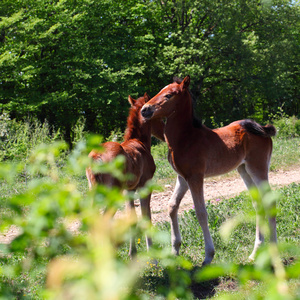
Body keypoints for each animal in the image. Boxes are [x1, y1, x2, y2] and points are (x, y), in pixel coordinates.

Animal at [86, 93, 164, 255]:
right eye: (157, 117)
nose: (163, 131)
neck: (140, 141)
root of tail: (97, 157)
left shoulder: (129, 189)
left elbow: (131, 218)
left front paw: (132, 253)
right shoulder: (145, 185)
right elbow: (146, 217)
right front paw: (151, 253)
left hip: (93, 189)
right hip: (112, 192)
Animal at [141, 77, 276, 264]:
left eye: (168, 95)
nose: (145, 110)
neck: (187, 138)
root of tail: (262, 129)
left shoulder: (195, 177)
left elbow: (201, 213)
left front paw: (208, 256)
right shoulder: (182, 178)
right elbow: (172, 206)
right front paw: (175, 250)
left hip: (258, 169)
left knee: (270, 202)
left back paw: (274, 249)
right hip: (244, 170)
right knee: (258, 204)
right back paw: (255, 253)